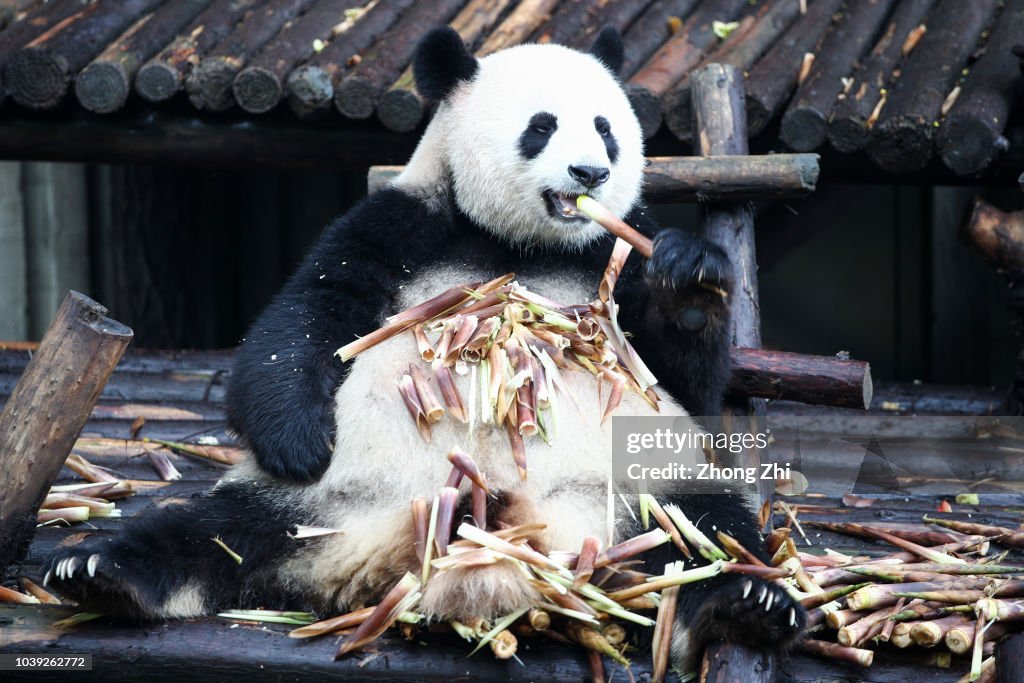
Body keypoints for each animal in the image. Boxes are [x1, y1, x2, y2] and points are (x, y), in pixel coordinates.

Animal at [46, 25, 798, 671]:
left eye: (606, 128)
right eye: (543, 126)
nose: (589, 173)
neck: (522, 244)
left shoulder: (615, 258)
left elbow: (684, 381)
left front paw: (693, 281)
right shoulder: (405, 223)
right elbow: (302, 323)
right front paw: (298, 440)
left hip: (637, 494)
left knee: (704, 531)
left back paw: (749, 602)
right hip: (315, 504)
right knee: (210, 532)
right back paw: (101, 573)